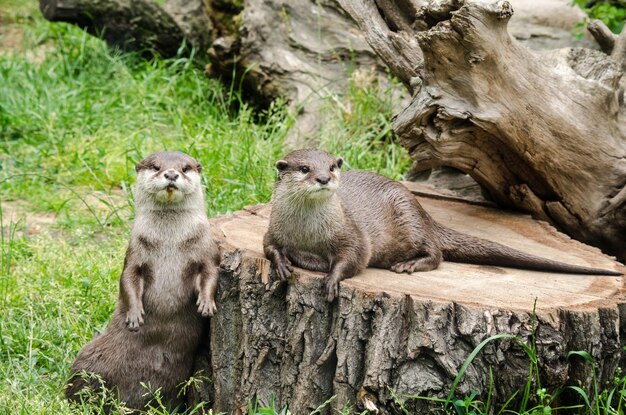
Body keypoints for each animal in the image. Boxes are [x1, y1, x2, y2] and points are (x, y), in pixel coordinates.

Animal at [65, 152, 219, 412]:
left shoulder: (205, 248)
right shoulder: (136, 251)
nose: (171, 174)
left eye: (185, 168)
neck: (170, 241)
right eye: (156, 167)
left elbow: (211, 274)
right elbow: (127, 279)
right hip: (88, 361)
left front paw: (206, 304)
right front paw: (135, 315)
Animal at [264, 149, 620, 302]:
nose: (324, 178)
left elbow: (354, 258)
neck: (309, 234)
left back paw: (408, 265)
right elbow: (269, 246)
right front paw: (281, 265)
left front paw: (332, 280)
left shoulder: (353, 234)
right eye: (305, 168)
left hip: (409, 219)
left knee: (437, 253)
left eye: (333, 167)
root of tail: (423, 209)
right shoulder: (273, 227)